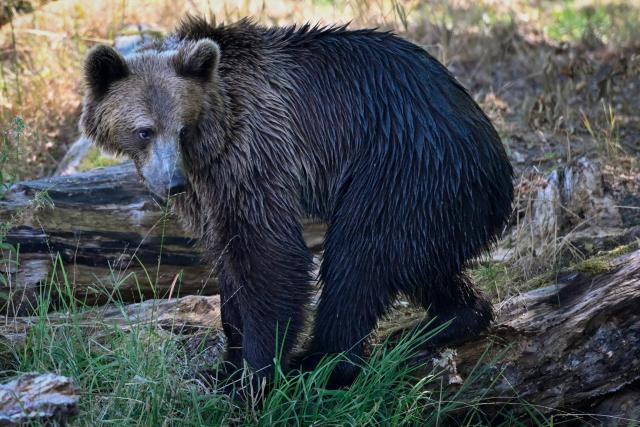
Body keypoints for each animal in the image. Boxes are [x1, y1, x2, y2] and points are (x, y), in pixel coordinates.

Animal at [80, 16, 514, 388]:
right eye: (145, 131)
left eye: (183, 128)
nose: (172, 184)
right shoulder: (207, 187)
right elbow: (225, 258)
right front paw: (223, 367)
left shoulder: (251, 152)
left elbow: (269, 254)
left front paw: (254, 374)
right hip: (437, 201)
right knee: (421, 262)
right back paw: (443, 322)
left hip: (406, 170)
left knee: (360, 258)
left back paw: (322, 362)